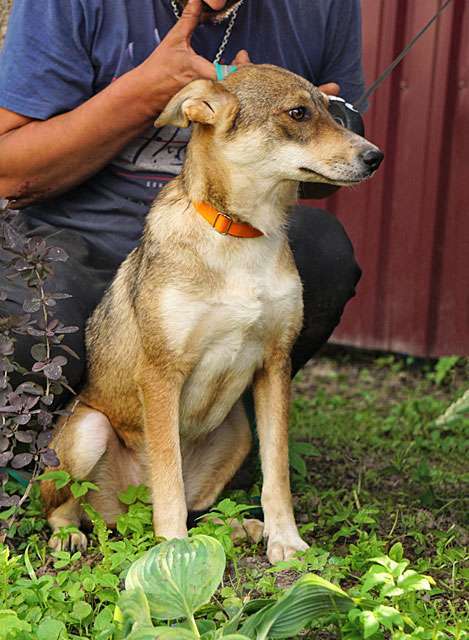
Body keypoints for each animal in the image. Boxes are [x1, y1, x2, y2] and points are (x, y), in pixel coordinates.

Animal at [40, 66, 382, 564]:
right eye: (298, 113)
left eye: (330, 109)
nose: (376, 156)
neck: (240, 235)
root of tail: (126, 510)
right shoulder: (160, 375)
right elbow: (168, 476)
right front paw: (173, 551)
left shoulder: (275, 365)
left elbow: (277, 472)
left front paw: (286, 539)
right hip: (88, 430)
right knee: (67, 503)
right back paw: (69, 535)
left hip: (237, 431)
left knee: (197, 505)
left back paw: (241, 527)